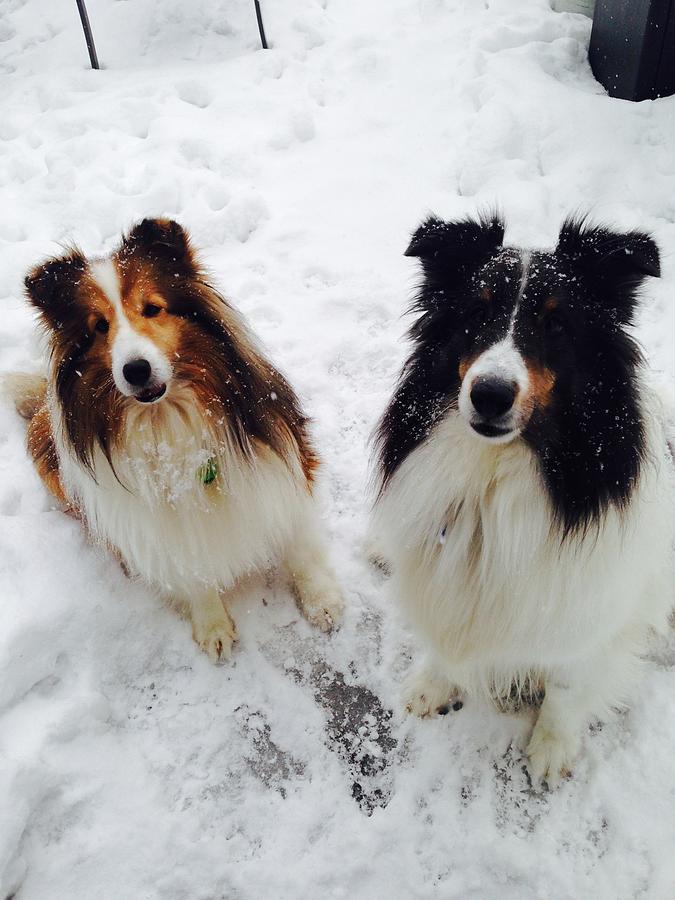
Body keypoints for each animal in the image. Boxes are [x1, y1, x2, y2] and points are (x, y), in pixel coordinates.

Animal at [7, 218, 340, 660]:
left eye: (152, 308)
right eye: (99, 326)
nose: (136, 370)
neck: (169, 422)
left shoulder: (284, 465)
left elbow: (298, 541)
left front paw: (322, 599)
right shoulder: (156, 526)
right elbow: (188, 569)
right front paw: (212, 624)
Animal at [374, 214, 675, 784]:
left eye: (556, 325)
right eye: (477, 312)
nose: (489, 395)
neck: (495, 473)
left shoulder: (592, 609)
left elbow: (566, 682)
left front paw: (552, 747)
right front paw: (432, 685)